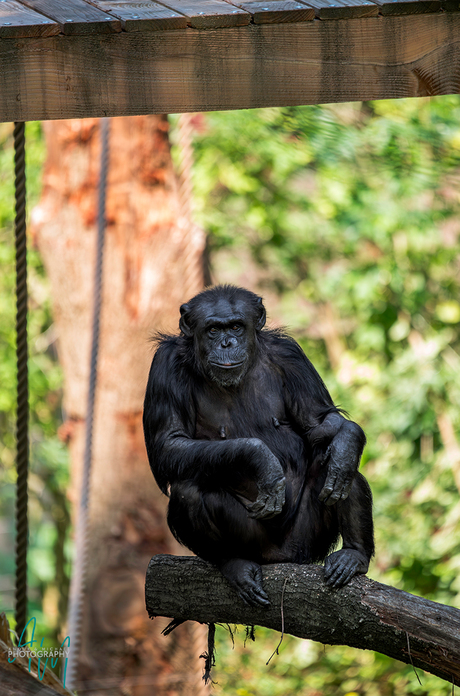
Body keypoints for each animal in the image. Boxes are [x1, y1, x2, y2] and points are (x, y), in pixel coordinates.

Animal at [144, 286, 374, 608]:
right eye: (213, 330)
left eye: (236, 327)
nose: (227, 343)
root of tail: (281, 557)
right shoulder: (164, 367)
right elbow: (169, 443)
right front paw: (259, 458)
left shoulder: (292, 356)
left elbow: (320, 422)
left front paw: (347, 443)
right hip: (253, 542)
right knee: (188, 488)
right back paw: (234, 563)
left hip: (306, 540)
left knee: (341, 471)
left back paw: (353, 553)